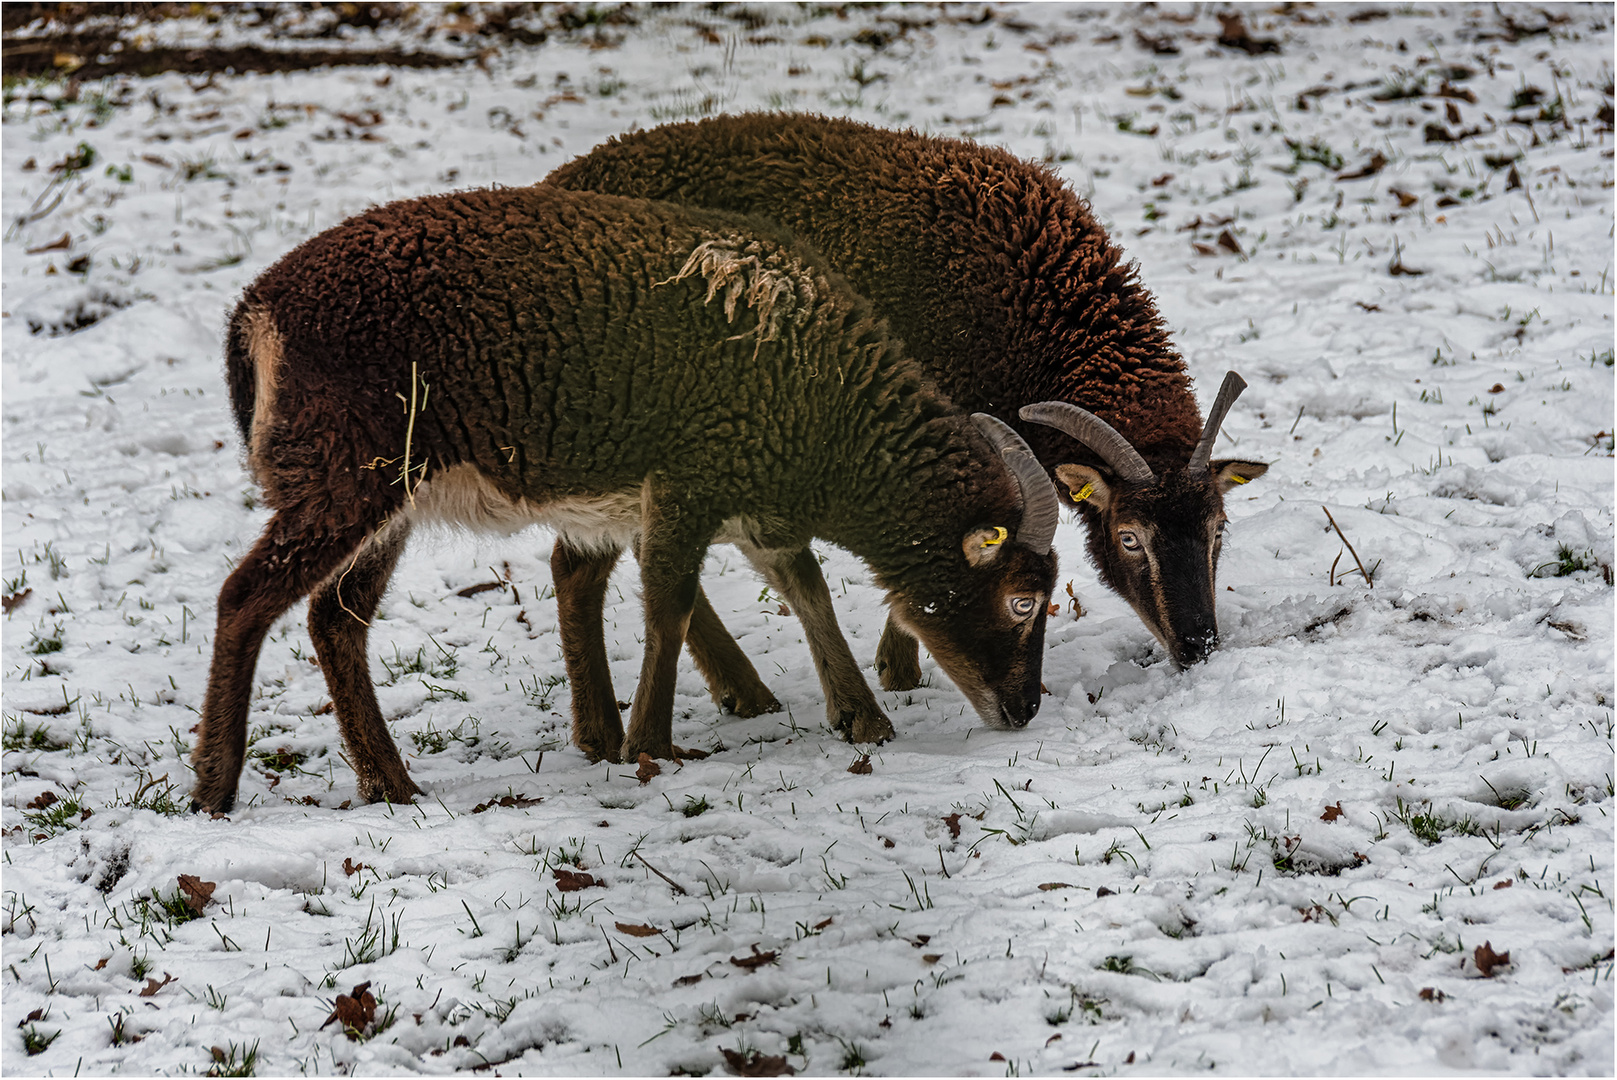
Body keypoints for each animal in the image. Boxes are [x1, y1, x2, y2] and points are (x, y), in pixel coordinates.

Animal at [192, 185, 1060, 808]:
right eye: (1022, 600)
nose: (1022, 711)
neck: (825, 393)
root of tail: (254, 312)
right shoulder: (687, 484)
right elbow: (669, 603)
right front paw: (650, 744)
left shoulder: (752, 504)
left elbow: (803, 587)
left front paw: (863, 719)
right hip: (347, 487)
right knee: (246, 599)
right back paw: (215, 786)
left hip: (387, 505)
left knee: (335, 618)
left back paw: (390, 783)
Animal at [549, 113, 1267, 679]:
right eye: (1128, 538)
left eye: (1217, 529)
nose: (1199, 646)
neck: (1034, 316)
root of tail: (561, 178)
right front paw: (899, 670)